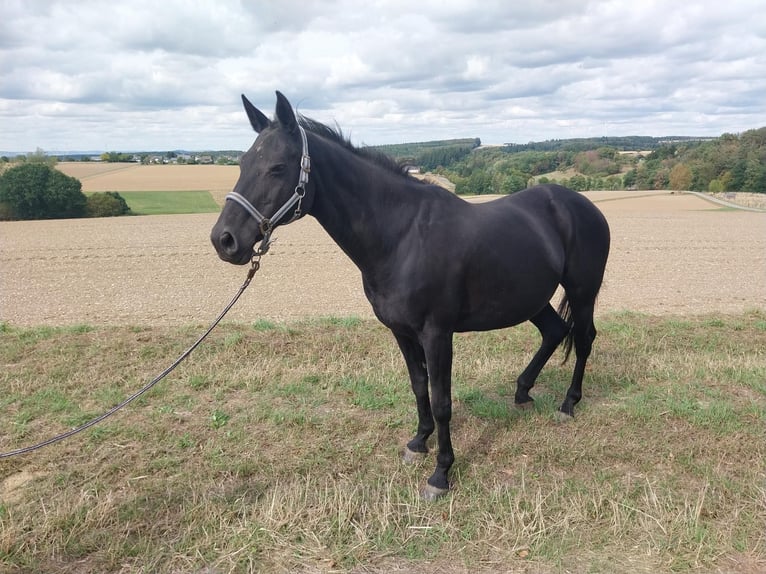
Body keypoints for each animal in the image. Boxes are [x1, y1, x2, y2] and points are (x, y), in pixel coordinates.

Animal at [210, 91, 610, 500]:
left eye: (277, 167)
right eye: (243, 163)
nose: (224, 240)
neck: (402, 235)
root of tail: (582, 205)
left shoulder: (437, 334)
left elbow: (441, 400)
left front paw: (441, 474)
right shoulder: (401, 331)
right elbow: (419, 387)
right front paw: (418, 443)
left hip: (582, 291)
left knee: (583, 338)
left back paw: (568, 404)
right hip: (531, 297)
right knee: (554, 331)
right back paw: (523, 392)